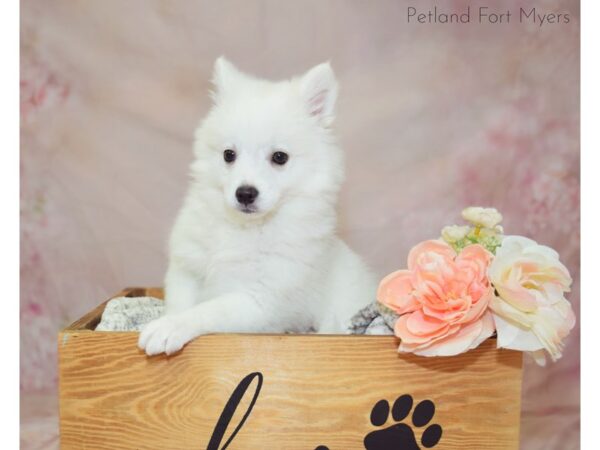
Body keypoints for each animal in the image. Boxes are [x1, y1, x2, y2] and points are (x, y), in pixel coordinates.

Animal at [138, 59, 378, 356]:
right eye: (229, 155)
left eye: (279, 157)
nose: (245, 193)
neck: (247, 228)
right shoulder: (187, 271)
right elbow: (180, 303)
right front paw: (168, 320)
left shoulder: (261, 300)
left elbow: (209, 310)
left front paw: (170, 327)